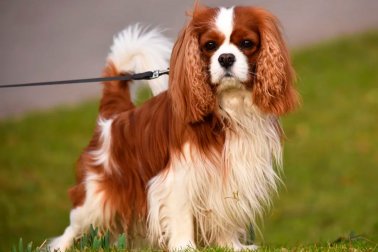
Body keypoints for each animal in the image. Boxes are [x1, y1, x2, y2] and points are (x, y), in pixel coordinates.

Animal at [49, 4, 298, 252]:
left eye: (246, 43)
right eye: (210, 45)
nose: (226, 58)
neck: (229, 106)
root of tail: (113, 119)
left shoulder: (232, 174)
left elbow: (226, 212)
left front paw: (231, 245)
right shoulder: (178, 178)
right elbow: (181, 216)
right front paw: (185, 247)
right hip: (95, 198)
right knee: (70, 229)